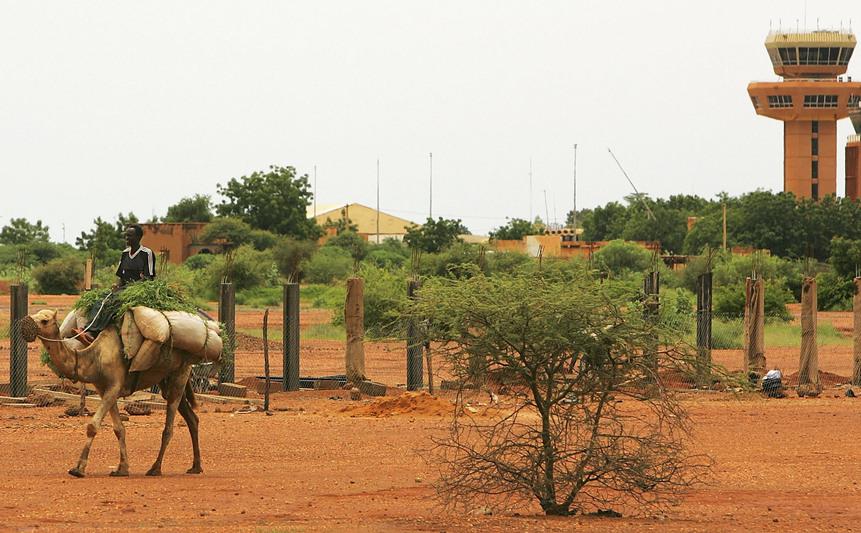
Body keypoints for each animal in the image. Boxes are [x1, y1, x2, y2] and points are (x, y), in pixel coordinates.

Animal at [19, 308, 210, 478]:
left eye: (44, 320)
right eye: (35, 314)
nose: (25, 322)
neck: (93, 358)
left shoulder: (114, 386)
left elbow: (93, 426)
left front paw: (78, 468)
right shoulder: (103, 389)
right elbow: (119, 429)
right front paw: (122, 469)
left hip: (180, 374)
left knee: (169, 427)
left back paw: (155, 468)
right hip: (167, 381)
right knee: (192, 418)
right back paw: (196, 467)